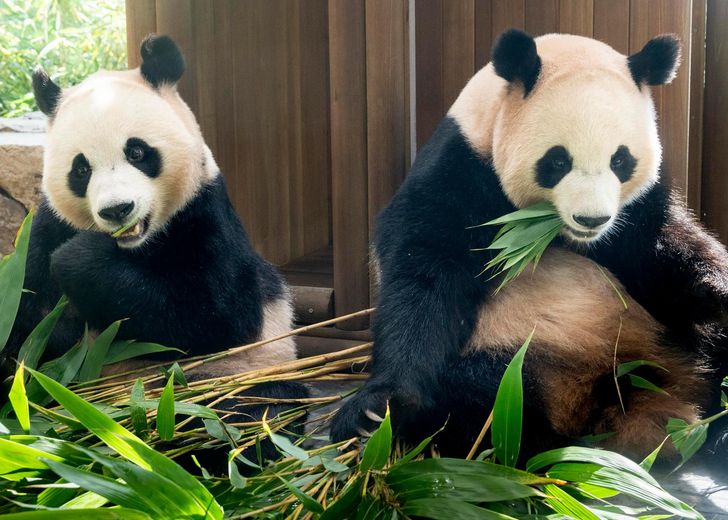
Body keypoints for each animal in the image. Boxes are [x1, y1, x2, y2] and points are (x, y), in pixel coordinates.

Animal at [2, 35, 307, 466]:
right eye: (81, 169)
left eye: (137, 152)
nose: (117, 210)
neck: (135, 247)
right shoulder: (45, 229)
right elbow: (29, 328)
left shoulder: (204, 215)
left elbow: (213, 315)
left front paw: (80, 259)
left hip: (245, 368)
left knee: (253, 411)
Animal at [331, 29, 728, 463]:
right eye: (558, 161)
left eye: (620, 160)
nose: (592, 219)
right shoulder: (460, 174)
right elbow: (423, 280)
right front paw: (376, 410)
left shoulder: (637, 215)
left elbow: (668, 256)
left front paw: (718, 286)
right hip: (513, 349)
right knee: (483, 397)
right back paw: (537, 448)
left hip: (667, 341)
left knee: (711, 347)